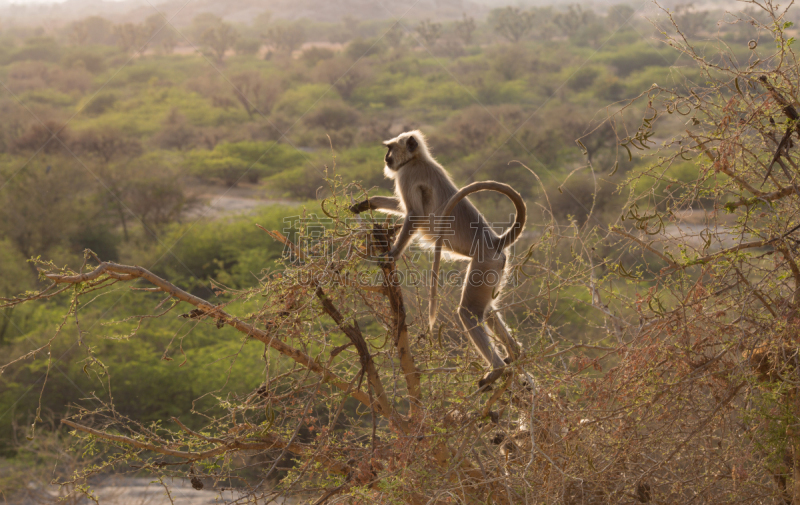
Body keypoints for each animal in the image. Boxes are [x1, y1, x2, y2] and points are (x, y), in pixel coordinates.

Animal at [348, 129, 524, 386]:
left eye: (390, 149)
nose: (386, 159)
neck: (417, 159)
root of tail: (495, 241)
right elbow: (404, 209)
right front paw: (366, 203)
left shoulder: (408, 174)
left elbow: (414, 214)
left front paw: (391, 255)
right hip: (496, 269)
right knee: (488, 310)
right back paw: (516, 354)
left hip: (485, 264)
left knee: (469, 312)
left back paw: (498, 369)